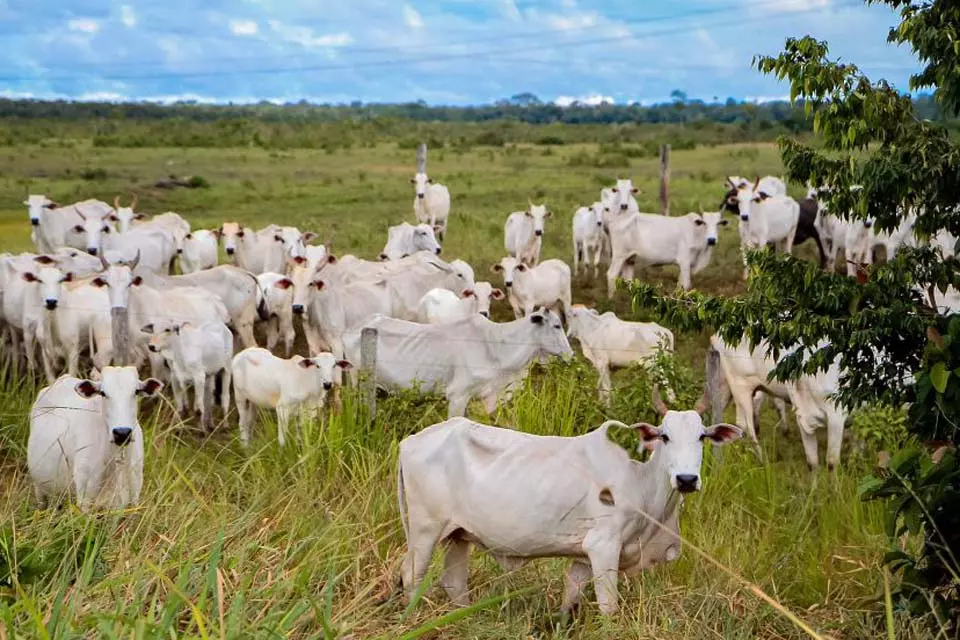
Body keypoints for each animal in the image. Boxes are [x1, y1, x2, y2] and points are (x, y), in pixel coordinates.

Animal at [26, 364, 162, 510]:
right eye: (103, 393)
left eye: (136, 391)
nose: (122, 433)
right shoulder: (84, 501)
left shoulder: (133, 501)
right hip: (40, 492)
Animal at [398, 384, 744, 616]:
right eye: (665, 436)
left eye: (702, 437)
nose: (686, 479)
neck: (642, 486)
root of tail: (409, 441)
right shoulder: (604, 547)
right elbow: (608, 607)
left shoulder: (582, 557)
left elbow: (570, 603)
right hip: (425, 531)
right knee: (412, 577)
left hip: (458, 535)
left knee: (454, 583)